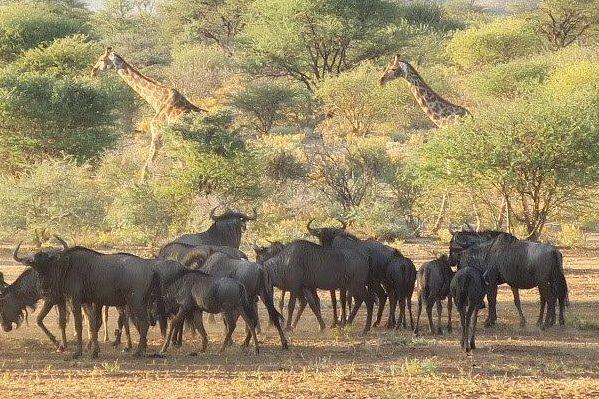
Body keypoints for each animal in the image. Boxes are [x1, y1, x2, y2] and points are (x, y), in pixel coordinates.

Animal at [91, 45, 206, 181]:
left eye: (102, 59)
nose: (93, 71)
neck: (157, 101)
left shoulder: (157, 134)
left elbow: (146, 168)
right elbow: (179, 164)